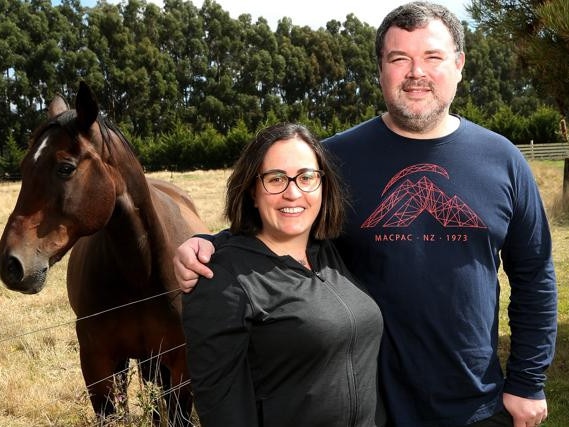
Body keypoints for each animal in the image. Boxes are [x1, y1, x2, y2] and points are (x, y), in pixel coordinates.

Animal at [0, 82, 209, 426]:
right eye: (24, 168)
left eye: (66, 168)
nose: (11, 264)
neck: (141, 271)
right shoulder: (97, 364)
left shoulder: (181, 363)